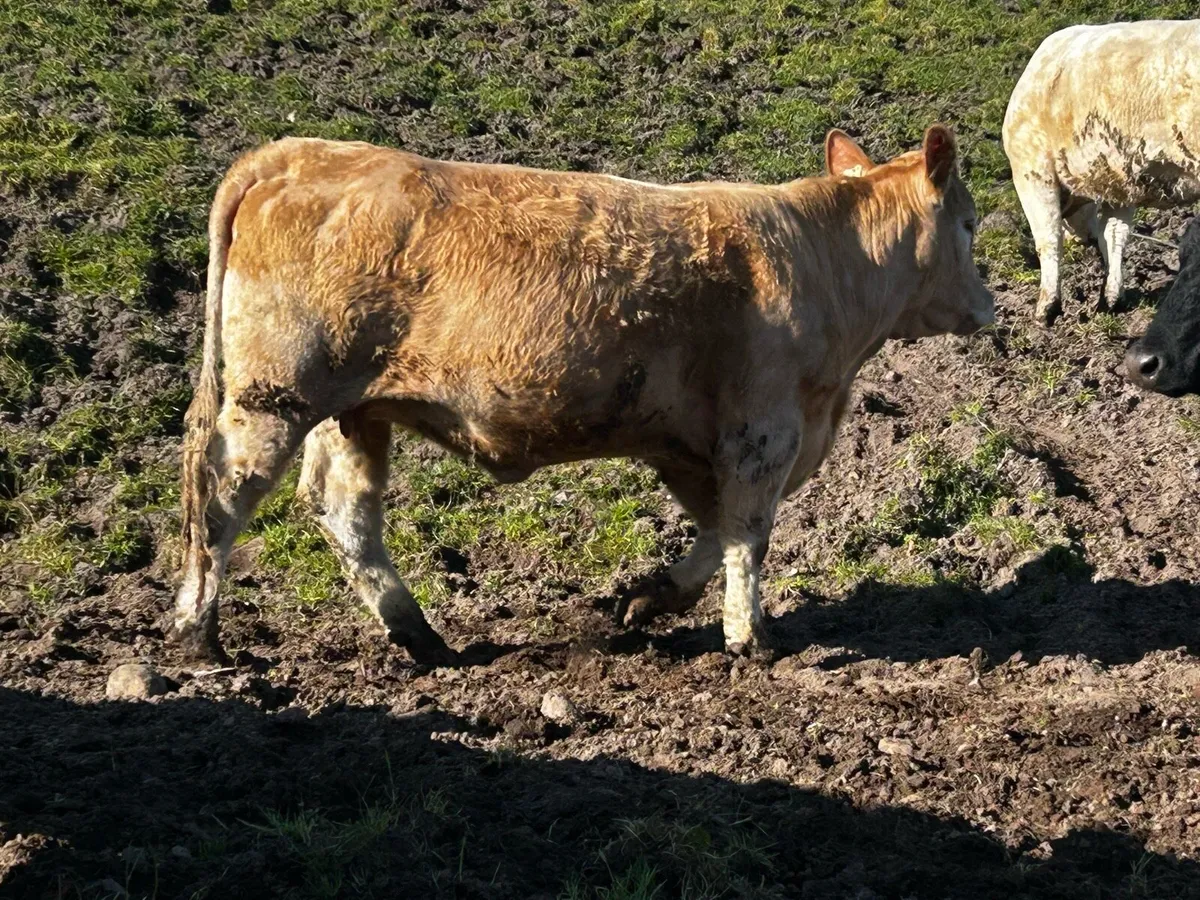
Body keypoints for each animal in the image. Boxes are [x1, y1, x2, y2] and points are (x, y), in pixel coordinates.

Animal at [173, 125, 994, 667]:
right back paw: (198, 633)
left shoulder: (695, 442)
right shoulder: (763, 430)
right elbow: (749, 533)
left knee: (344, 512)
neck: (825, 261)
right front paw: (751, 638)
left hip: (352, 410)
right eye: (970, 221)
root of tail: (299, 151)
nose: (989, 306)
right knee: (221, 498)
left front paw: (650, 597)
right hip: (274, 394)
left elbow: (715, 533)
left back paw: (420, 635)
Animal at [1002, 20, 1200, 324]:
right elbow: (1115, 236)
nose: (1083, 240)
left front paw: (1046, 308)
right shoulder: (1119, 181)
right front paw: (1111, 299)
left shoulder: (1032, 169)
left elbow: (1048, 239)